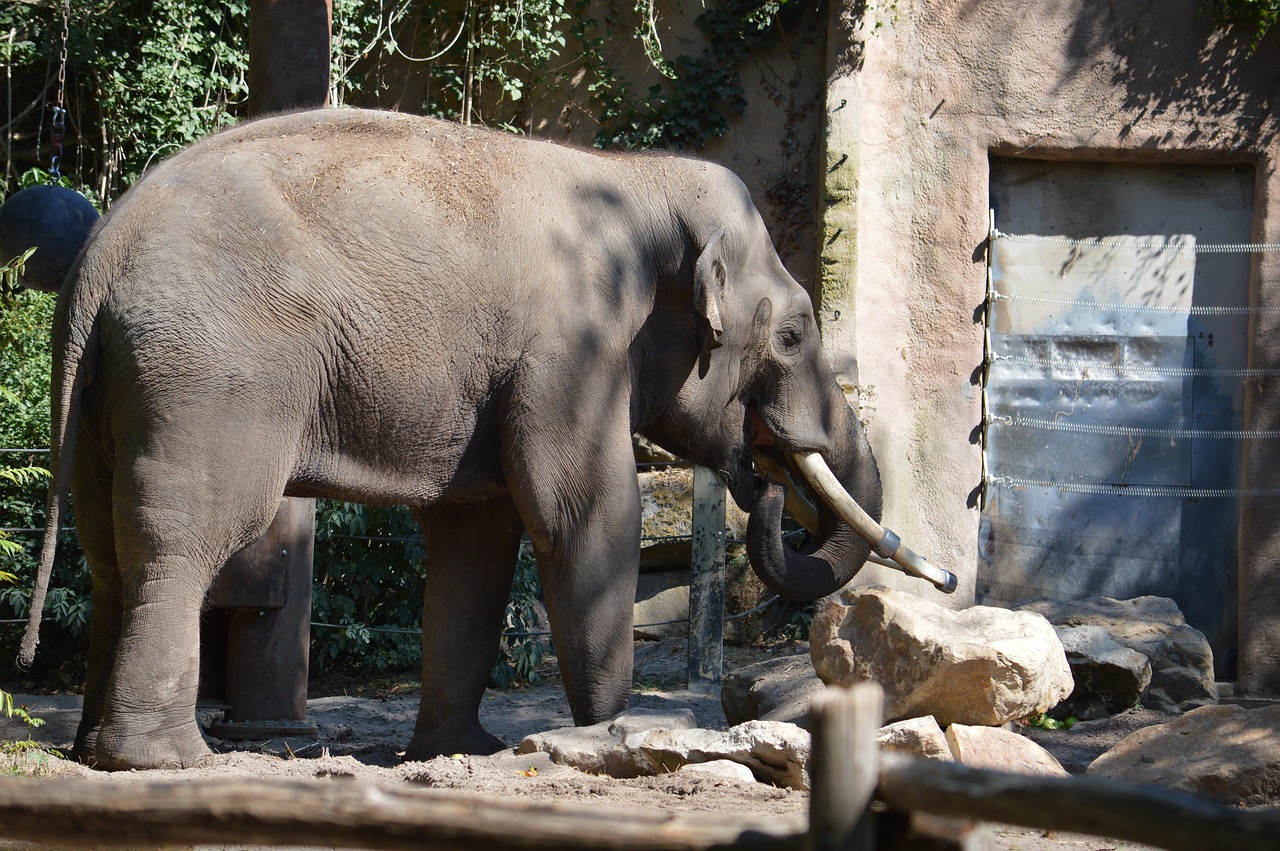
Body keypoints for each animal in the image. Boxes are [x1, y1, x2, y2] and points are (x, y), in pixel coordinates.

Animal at [20, 106, 880, 767]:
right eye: (795, 336)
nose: (769, 486)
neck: (640, 180)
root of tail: (99, 259)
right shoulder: (569, 350)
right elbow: (586, 517)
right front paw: (612, 734)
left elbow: (477, 537)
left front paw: (463, 751)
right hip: (207, 375)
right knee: (185, 535)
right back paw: (164, 760)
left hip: (114, 390)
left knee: (106, 549)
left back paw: (94, 751)